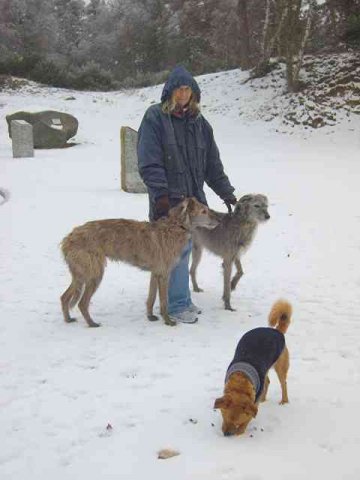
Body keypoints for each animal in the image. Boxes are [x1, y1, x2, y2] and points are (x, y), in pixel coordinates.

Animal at [60, 197, 218, 328]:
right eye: (204, 211)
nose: (219, 221)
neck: (176, 226)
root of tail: (67, 239)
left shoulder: (156, 273)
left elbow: (151, 297)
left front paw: (150, 316)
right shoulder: (164, 274)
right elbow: (163, 301)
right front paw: (168, 321)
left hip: (81, 275)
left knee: (64, 297)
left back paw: (68, 319)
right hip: (94, 274)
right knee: (82, 303)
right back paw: (91, 323)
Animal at [214, 302, 292, 436]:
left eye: (237, 423)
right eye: (224, 417)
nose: (226, 434)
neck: (241, 380)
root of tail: (277, 331)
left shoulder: (253, 406)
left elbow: (247, 420)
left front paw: (240, 432)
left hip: (280, 366)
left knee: (283, 384)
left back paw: (284, 401)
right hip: (265, 368)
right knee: (267, 382)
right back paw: (264, 399)